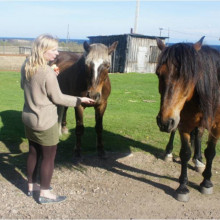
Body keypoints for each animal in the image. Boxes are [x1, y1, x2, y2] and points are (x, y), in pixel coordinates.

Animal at [156, 37, 220, 202]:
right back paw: (169, 152)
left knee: (198, 134)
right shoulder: (183, 123)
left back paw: (198, 160)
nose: (164, 122)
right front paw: (183, 187)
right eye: (158, 74)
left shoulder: (217, 125)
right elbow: (185, 153)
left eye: (188, 76)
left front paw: (206, 182)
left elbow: (210, 152)